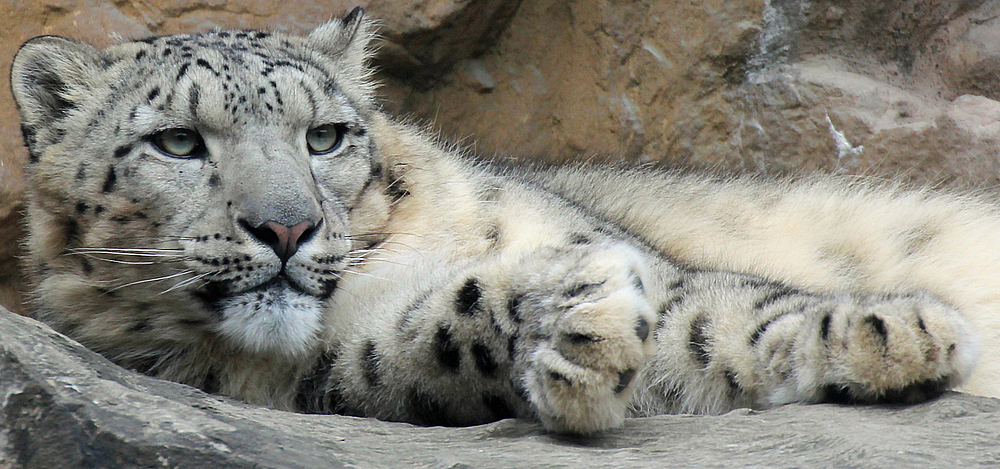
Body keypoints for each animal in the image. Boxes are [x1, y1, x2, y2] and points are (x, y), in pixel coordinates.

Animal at [7, 6, 984, 432]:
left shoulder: (668, 275)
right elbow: (421, 342)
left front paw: (895, 331)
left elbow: (714, 312)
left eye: (324, 134)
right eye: (177, 142)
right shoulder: (312, 374)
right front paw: (576, 331)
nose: (287, 228)